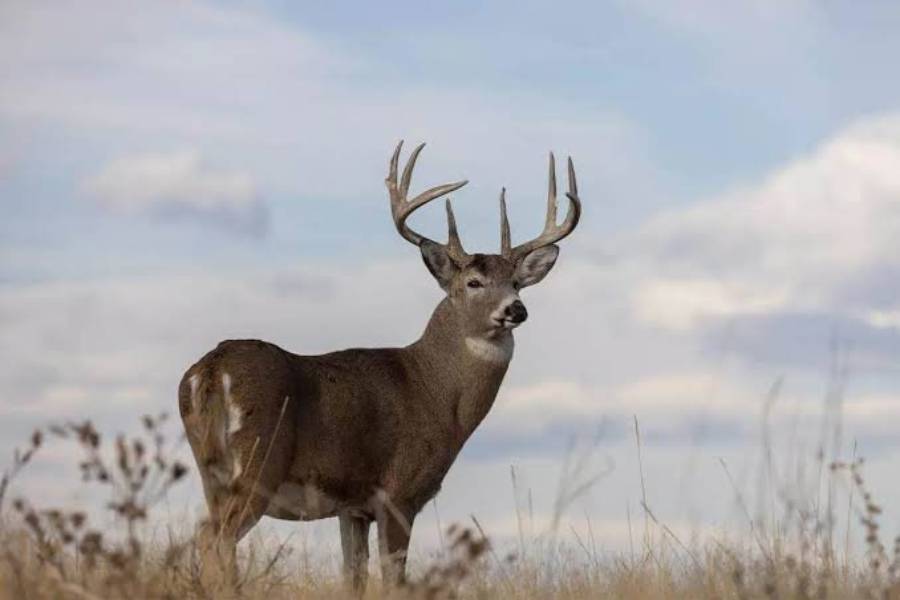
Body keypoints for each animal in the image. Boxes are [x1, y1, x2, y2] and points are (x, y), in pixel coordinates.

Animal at [178, 141, 582, 593]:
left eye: (516, 283)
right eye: (473, 282)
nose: (516, 309)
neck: (432, 389)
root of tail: (209, 371)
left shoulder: (351, 507)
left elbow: (353, 576)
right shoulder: (399, 491)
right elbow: (394, 579)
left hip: (210, 471)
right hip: (257, 463)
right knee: (214, 538)